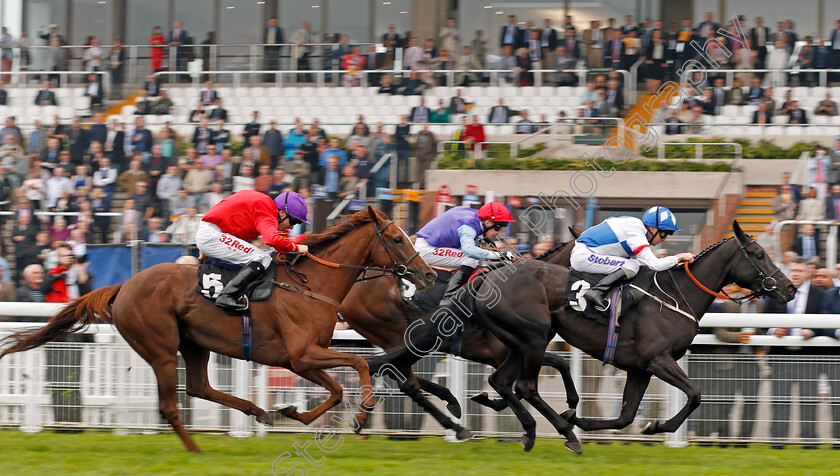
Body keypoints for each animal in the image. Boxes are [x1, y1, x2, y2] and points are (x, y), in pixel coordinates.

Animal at [3, 209, 440, 454]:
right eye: (397, 238)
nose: (429, 274)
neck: (311, 283)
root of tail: (124, 286)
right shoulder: (302, 354)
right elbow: (358, 367)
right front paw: (361, 417)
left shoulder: (298, 360)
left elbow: (334, 390)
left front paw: (292, 412)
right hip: (161, 347)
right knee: (171, 404)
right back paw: (196, 450)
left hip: (194, 344)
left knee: (199, 387)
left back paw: (257, 412)